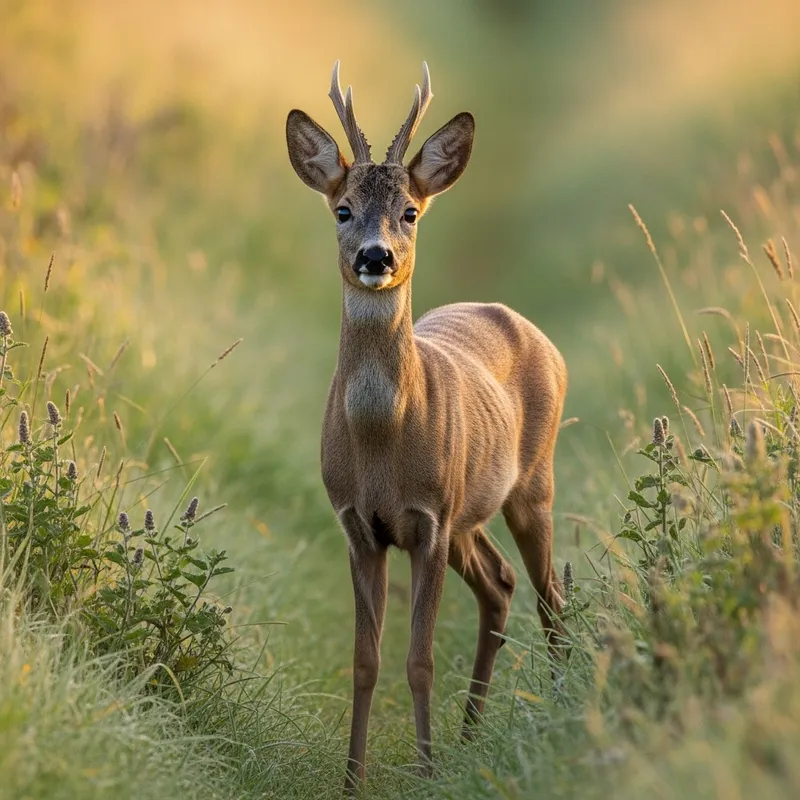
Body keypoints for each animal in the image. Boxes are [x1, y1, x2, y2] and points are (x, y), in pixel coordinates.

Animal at [285, 61, 567, 793]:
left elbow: (419, 661)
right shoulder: (360, 524)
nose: (376, 257)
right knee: (500, 584)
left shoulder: (429, 521)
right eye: (343, 209)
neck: (382, 444)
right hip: (470, 512)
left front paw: (427, 772)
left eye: (409, 212)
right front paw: (352, 780)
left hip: (532, 484)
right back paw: (469, 735)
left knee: (550, 596)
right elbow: (366, 662)